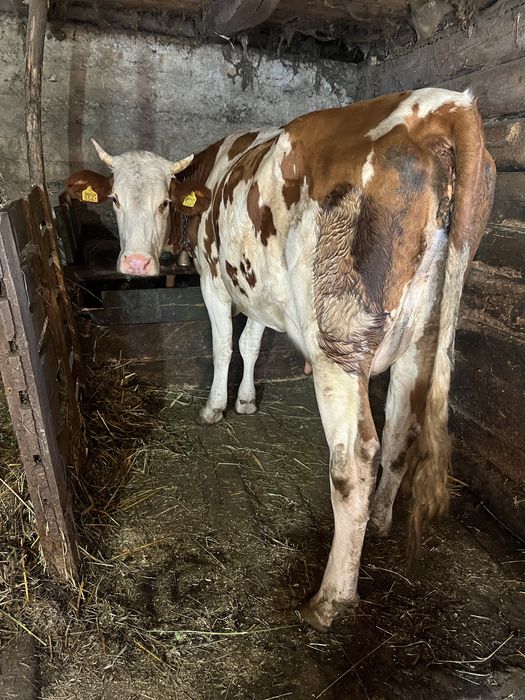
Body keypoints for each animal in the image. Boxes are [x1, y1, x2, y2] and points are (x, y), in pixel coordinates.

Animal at [66, 88, 496, 630]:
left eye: (165, 202)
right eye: (116, 199)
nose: (137, 263)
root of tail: (442, 105)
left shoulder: (215, 279)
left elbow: (224, 344)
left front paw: (215, 407)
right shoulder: (258, 289)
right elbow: (251, 344)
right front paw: (247, 401)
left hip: (337, 343)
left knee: (355, 460)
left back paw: (330, 599)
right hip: (421, 336)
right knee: (400, 431)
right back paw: (380, 521)